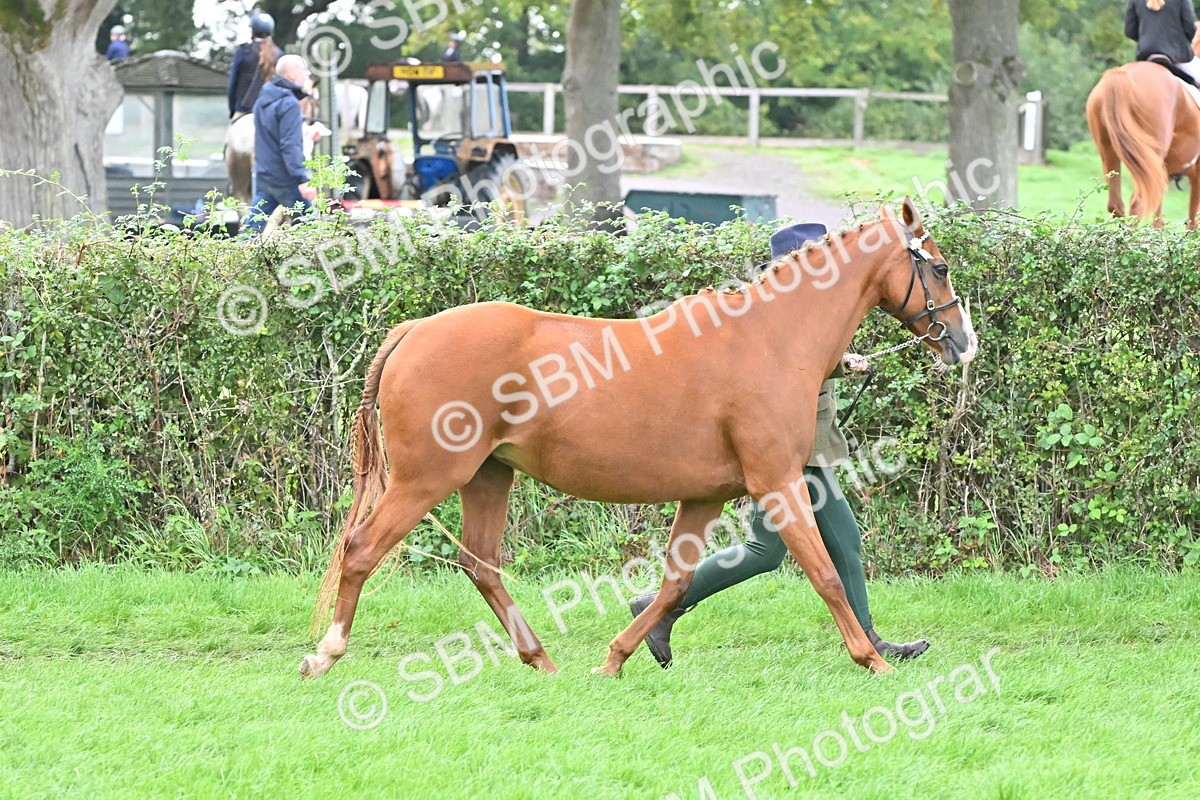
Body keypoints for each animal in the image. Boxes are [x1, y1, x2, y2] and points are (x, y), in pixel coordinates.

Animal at [300, 198, 978, 681]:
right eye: (940, 267)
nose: (962, 342)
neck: (770, 339)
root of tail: (414, 331)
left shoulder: (705, 495)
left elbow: (677, 580)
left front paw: (617, 656)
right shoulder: (778, 483)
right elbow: (826, 574)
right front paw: (874, 659)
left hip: (489, 475)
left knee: (480, 564)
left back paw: (542, 661)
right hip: (427, 478)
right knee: (361, 550)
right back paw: (325, 653)